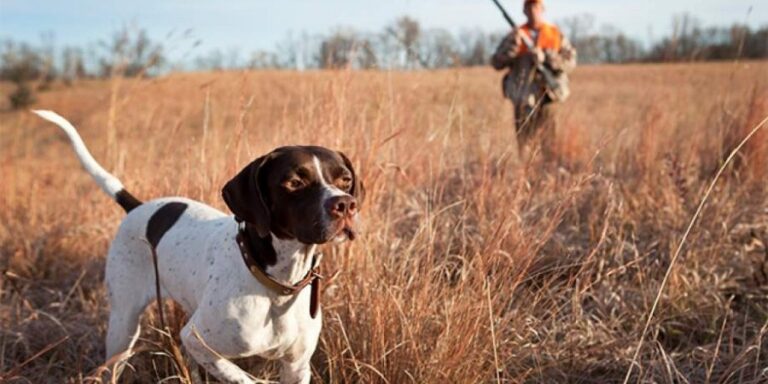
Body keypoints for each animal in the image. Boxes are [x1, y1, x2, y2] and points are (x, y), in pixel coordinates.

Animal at [33, 109, 364, 382]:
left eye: (345, 179)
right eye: (294, 182)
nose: (345, 204)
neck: (277, 284)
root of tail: (137, 207)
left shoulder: (297, 366)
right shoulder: (195, 340)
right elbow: (243, 378)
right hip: (123, 325)